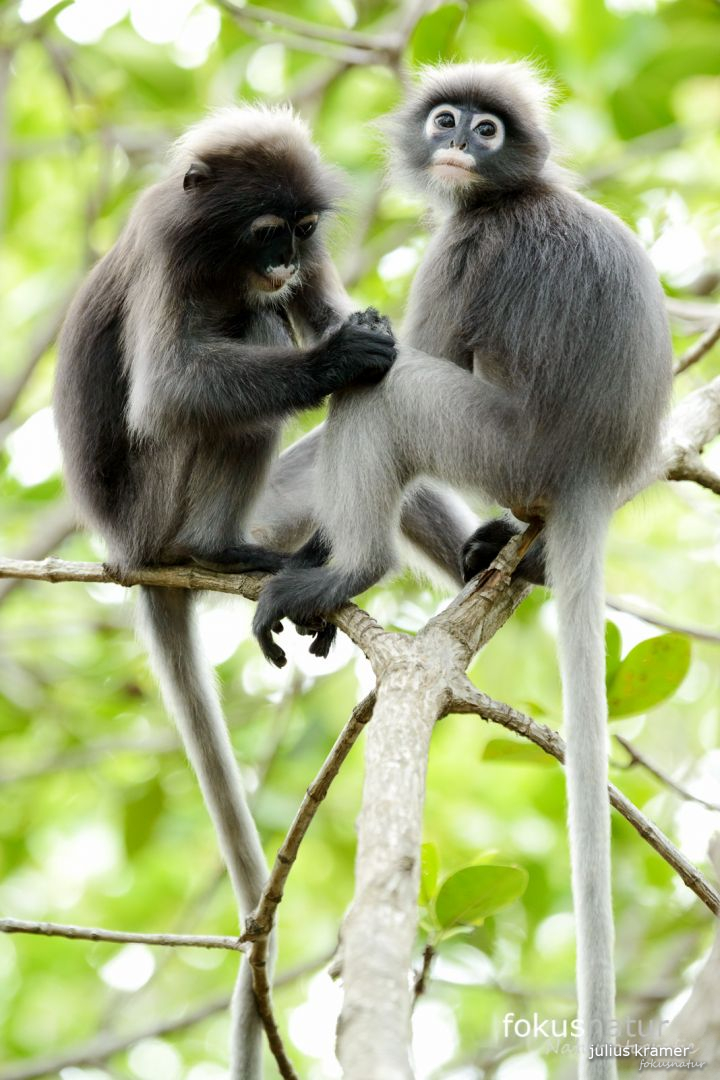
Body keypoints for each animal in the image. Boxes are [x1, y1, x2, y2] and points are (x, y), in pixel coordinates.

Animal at [253, 67, 677, 1080]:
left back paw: (346, 569)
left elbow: (408, 355)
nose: (457, 143)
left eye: (487, 131)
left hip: (497, 443)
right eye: (447, 119)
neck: (507, 195)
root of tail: (591, 467)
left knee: (391, 390)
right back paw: (502, 552)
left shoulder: (463, 250)